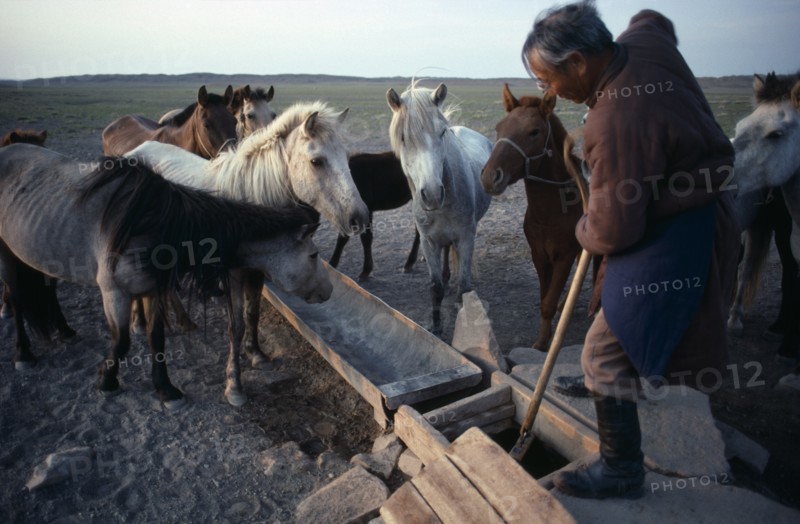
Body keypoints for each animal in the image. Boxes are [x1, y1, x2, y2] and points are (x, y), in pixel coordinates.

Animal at [0, 144, 331, 409]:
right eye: (313, 255)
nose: (328, 291)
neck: (153, 225)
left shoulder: (151, 290)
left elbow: (156, 339)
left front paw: (167, 390)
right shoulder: (114, 293)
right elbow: (121, 342)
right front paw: (107, 381)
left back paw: (64, 329)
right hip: (7, 254)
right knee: (16, 300)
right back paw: (23, 353)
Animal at [125, 101, 369, 404]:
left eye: (346, 158)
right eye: (317, 161)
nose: (360, 217)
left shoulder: (258, 271)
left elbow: (252, 314)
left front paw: (257, 355)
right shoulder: (232, 277)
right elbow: (236, 326)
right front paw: (234, 385)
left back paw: (184, 320)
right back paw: (138, 322)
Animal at [328, 151, 420, 281]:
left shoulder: (366, 210)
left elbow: (365, 238)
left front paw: (365, 271)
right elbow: (343, 237)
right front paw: (331, 265)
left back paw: (410, 263)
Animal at [386, 82, 492, 337]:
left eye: (442, 133)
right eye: (403, 137)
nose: (433, 194)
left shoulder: (466, 237)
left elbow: (463, 287)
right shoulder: (428, 242)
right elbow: (435, 288)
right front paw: (435, 327)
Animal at [480, 84, 584, 351]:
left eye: (534, 131)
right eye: (499, 128)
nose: (490, 176)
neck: (551, 212)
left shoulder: (564, 256)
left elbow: (548, 301)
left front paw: (544, 342)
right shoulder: (539, 254)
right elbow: (544, 298)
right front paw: (541, 340)